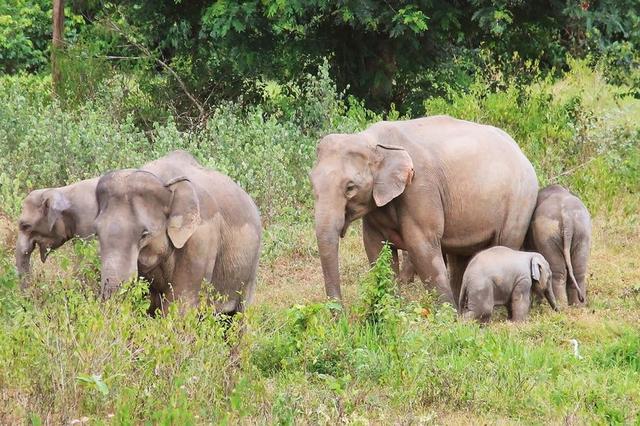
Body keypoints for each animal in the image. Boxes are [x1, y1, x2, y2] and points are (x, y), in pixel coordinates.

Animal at [310, 115, 540, 304]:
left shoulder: (420, 187)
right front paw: (391, 307)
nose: (339, 316)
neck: (373, 140)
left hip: (519, 202)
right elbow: (376, 246)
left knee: (504, 244)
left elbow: (421, 245)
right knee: (460, 258)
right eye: (312, 183)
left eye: (350, 187)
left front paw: (447, 317)